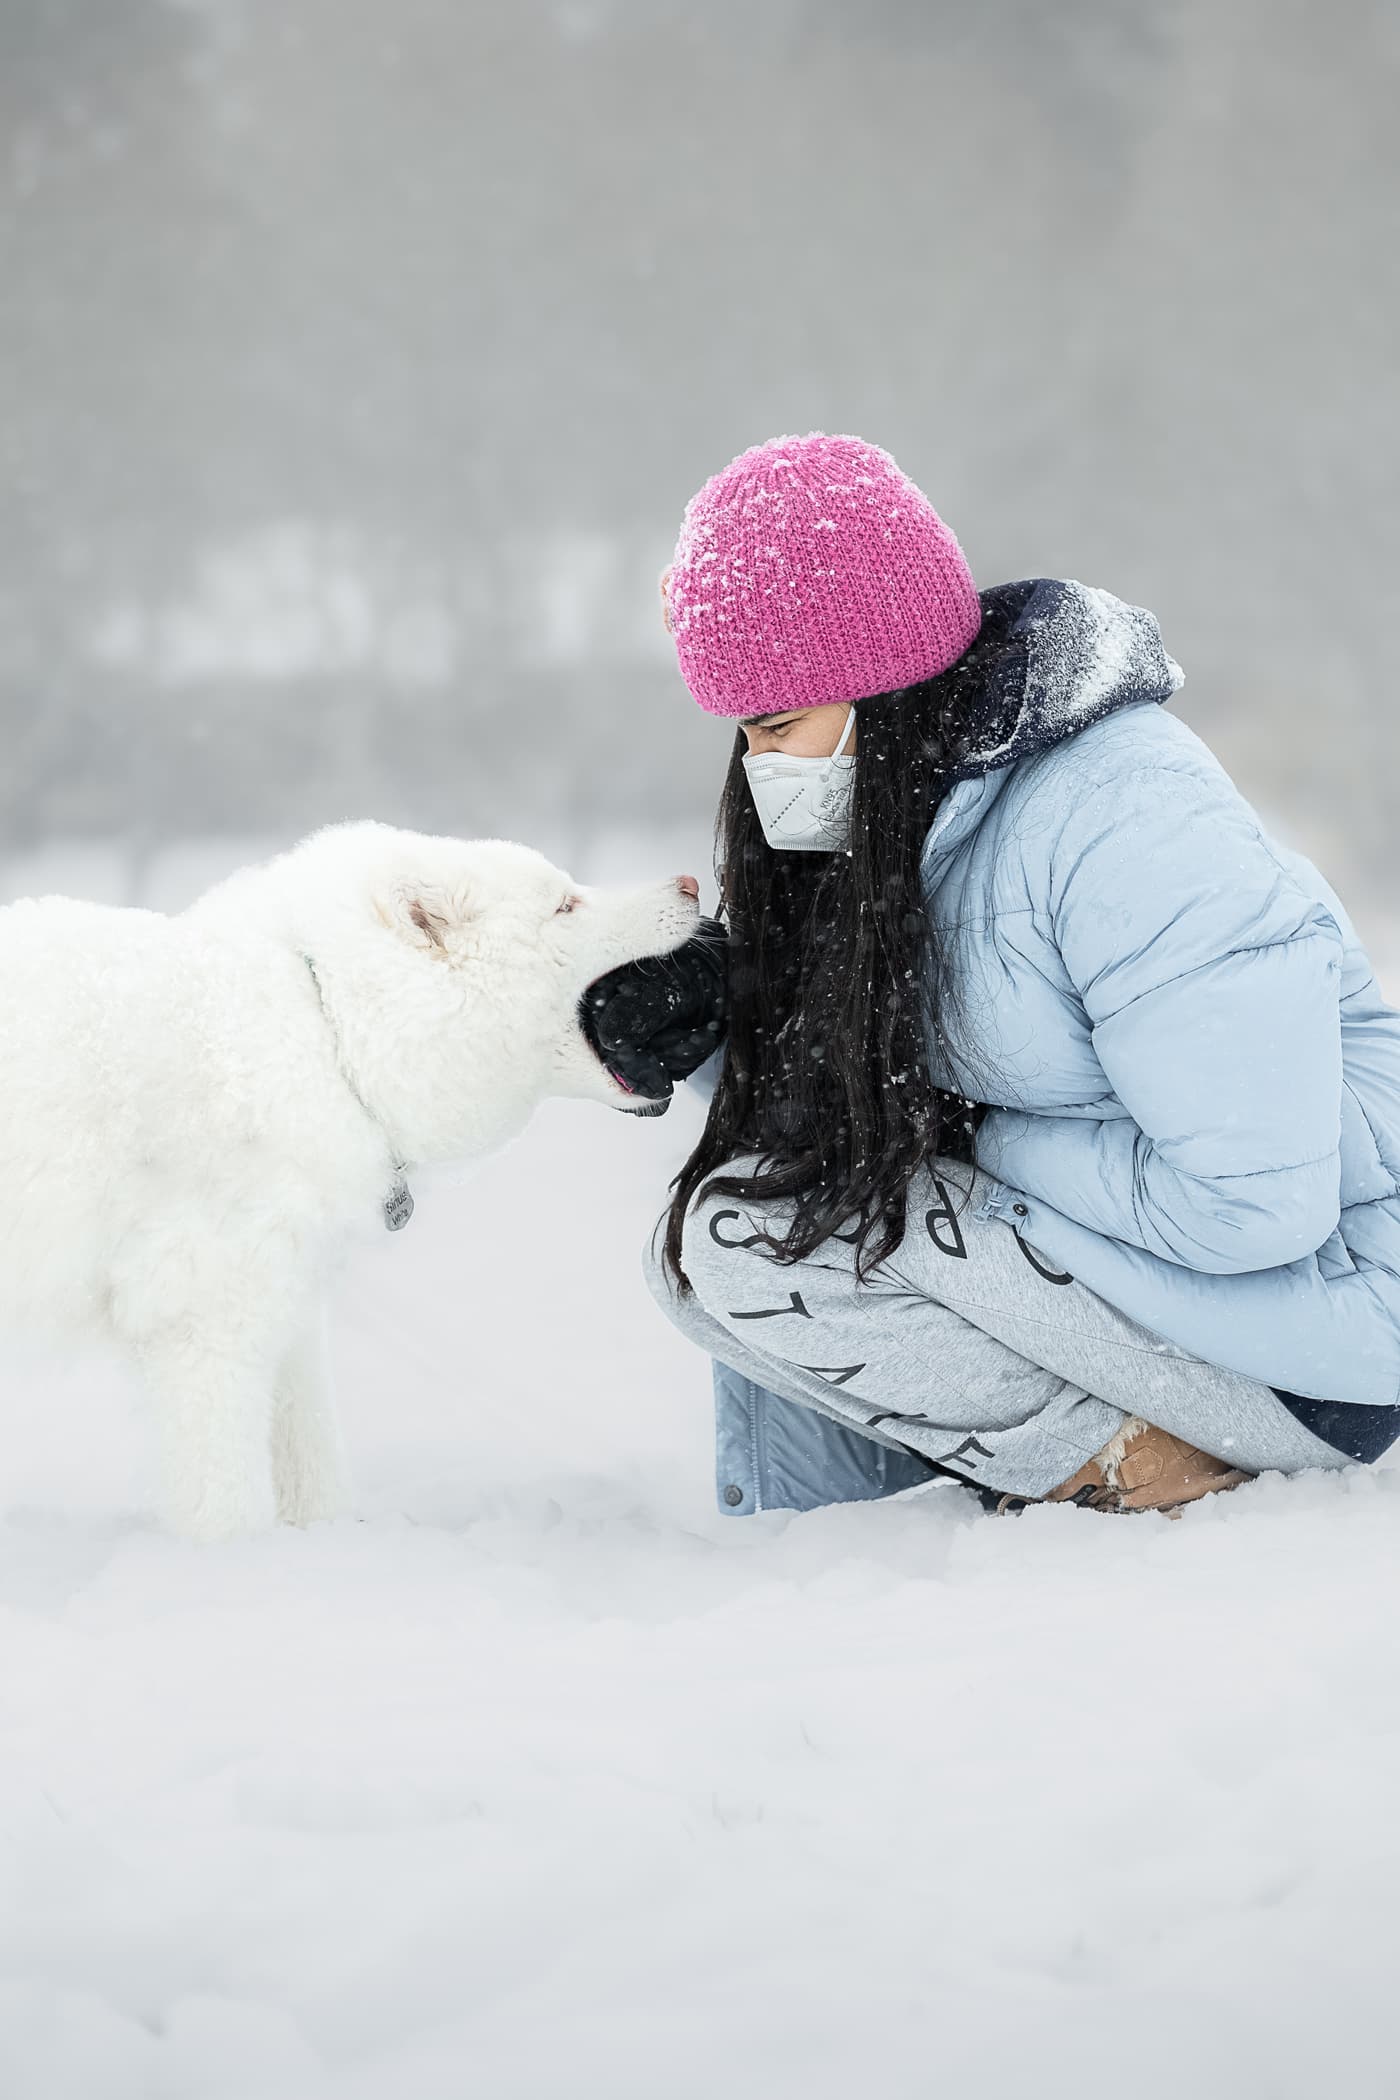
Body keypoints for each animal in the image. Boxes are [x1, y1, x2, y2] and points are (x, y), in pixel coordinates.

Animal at [0, 818, 696, 1545]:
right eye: (565, 904)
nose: (692, 883)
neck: (328, 1032)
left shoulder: (289, 1308)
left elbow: (312, 1456)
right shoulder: (208, 1323)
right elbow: (226, 1498)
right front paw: (231, 1561)